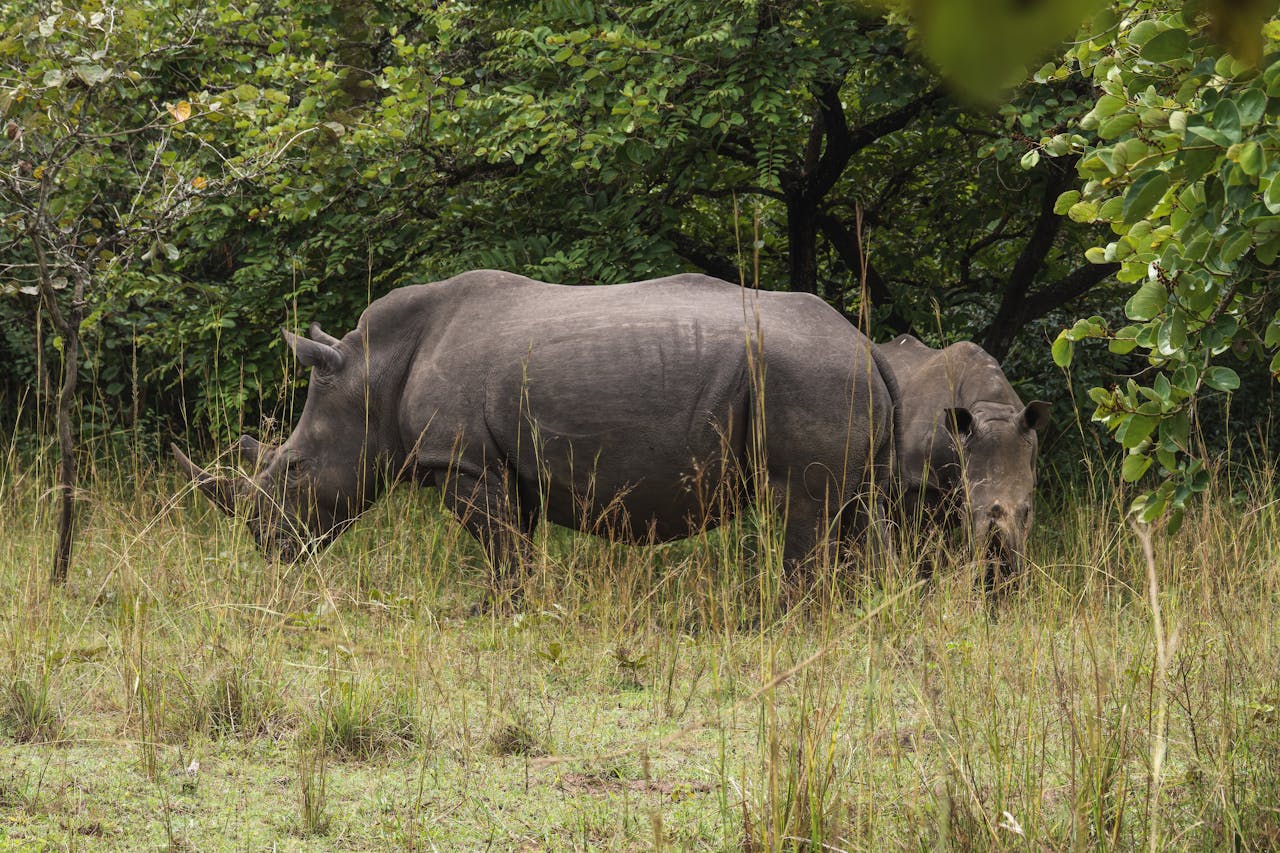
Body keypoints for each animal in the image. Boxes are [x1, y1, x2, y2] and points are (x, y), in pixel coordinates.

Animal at [173, 270, 897, 599]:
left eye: (293, 468)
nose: (265, 543)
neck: (371, 373)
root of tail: (866, 346)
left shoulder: (459, 462)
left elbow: (501, 549)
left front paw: (496, 613)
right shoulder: (500, 465)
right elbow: (514, 543)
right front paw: (513, 608)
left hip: (808, 376)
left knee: (804, 505)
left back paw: (775, 620)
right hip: (834, 381)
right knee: (851, 512)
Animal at [873, 334, 1050, 587]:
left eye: (1027, 512)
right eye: (966, 509)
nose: (1004, 572)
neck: (992, 408)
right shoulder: (919, 484)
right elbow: (925, 546)